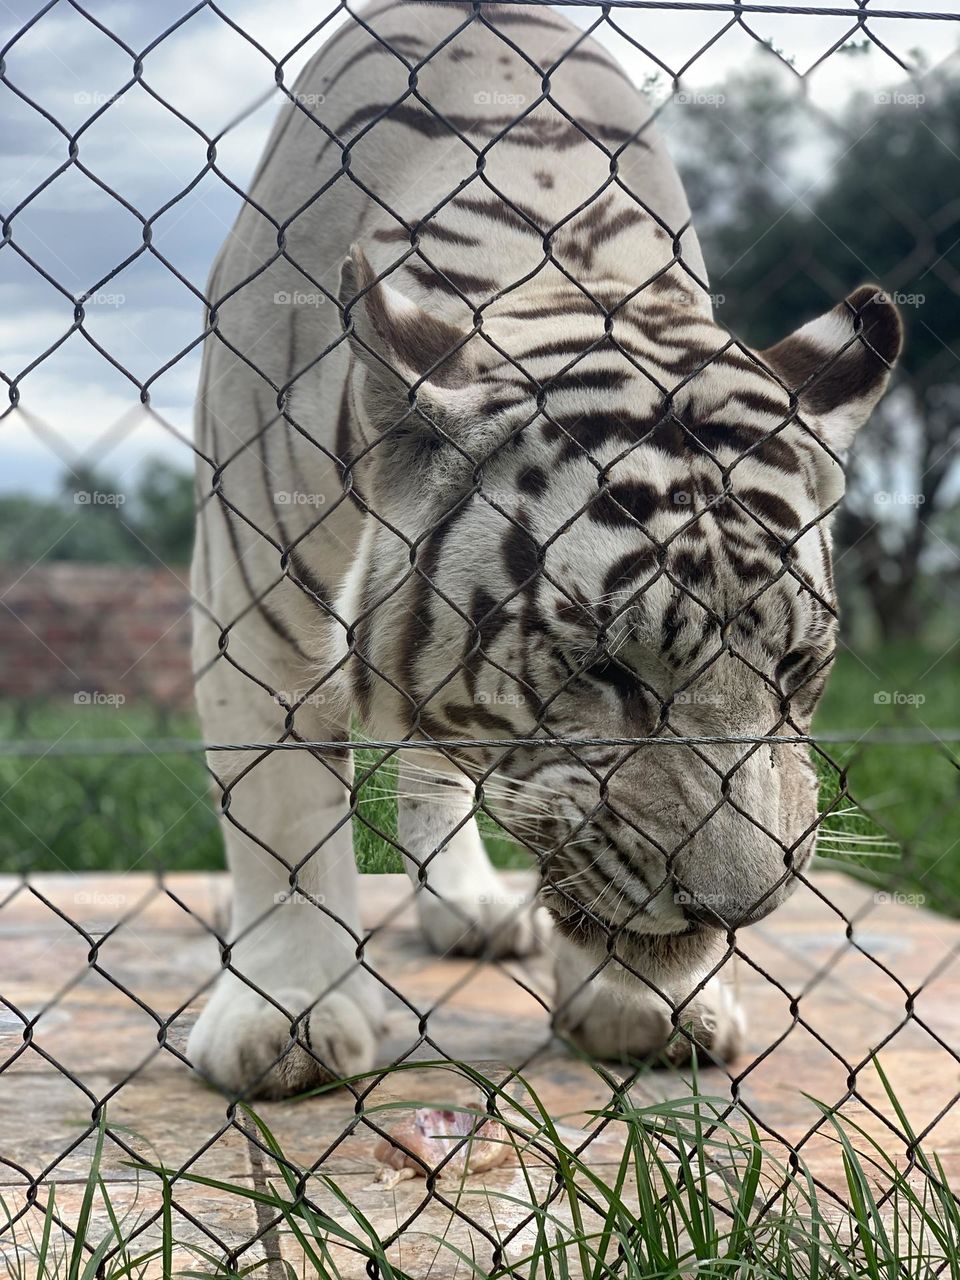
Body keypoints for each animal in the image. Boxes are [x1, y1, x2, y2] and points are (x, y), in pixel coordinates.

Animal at [188, 0, 901, 1100]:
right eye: (607, 672)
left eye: (794, 667)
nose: (735, 910)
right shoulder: (252, 604)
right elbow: (283, 811)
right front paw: (289, 1021)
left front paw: (646, 1004)